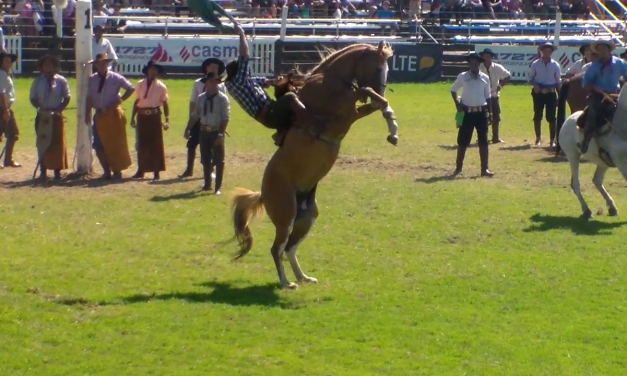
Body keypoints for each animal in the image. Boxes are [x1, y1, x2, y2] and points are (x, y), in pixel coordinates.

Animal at [231, 41, 398, 288]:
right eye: (378, 67)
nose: (383, 88)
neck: (329, 79)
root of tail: (262, 193)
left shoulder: (351, 113)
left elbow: (373, 101)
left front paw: (392, 128)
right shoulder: (342, 114)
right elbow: (367, 92)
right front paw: (391, 123)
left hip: (307, 217)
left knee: (289, 248)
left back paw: (303, 277)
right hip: (286, 216)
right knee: (276, 249)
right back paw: (286, 283)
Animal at [560, 82, 627, 217]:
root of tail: (568, 119)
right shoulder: (622, 163)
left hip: (603, 162)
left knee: (597, 180)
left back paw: (612, 207)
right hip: (572, 155)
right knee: (576, 184)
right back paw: (586, 210)